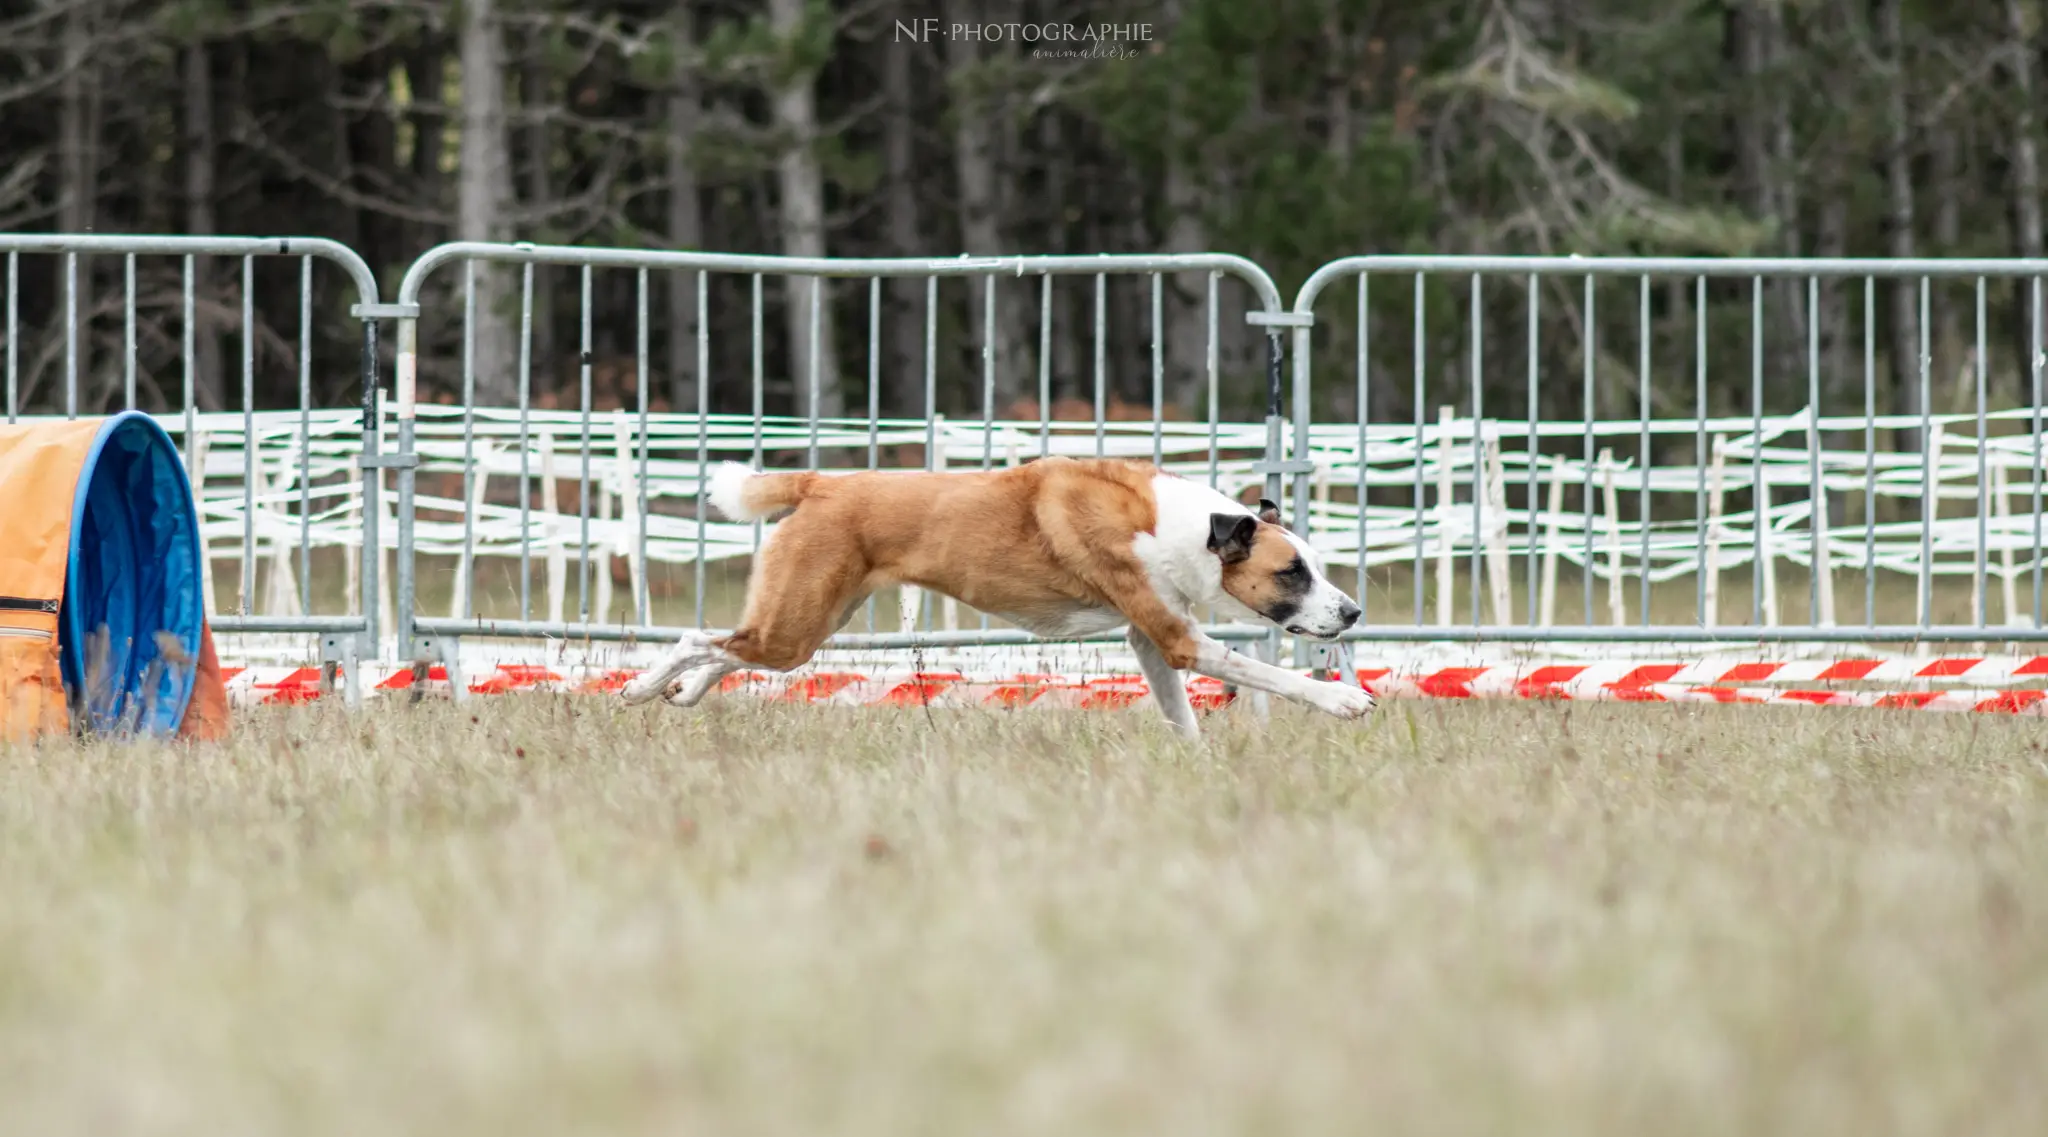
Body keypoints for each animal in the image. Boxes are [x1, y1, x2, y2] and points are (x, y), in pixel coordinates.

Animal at [614, 458, 1368, 741]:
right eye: (1291, 572)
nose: (1353, 613)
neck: (1176, 524)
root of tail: (823, 481)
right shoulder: (1179, 638)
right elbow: (1271, 672)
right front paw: (1343, 698)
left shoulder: (1151, 639)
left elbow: (1181, 715)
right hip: (798, 624)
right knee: (698, 639)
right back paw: (639, 688)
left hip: (808, 621)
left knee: (728, 647)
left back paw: (683, 693)